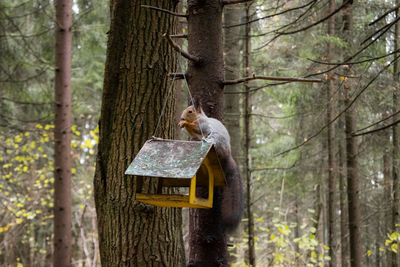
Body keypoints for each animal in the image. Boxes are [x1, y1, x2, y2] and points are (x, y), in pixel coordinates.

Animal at [179, 104, 244, 232]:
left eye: (190, 111)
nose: (181, 117)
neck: (199, 117)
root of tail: (228, 155)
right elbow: (192, 132)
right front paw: (182, 124)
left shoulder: (203, 125)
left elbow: (196, 128)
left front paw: (186, 123)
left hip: (216, 140)